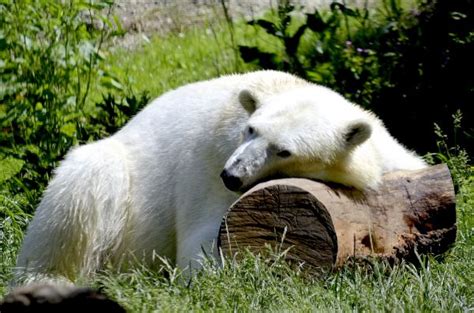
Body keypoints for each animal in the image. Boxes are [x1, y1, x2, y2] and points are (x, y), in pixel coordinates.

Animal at [14, 70, 426, 282]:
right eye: (251, 130)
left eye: (284, 150)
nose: (231, 175)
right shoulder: (210, 164)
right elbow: (203, 240)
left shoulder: (388, 155)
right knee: (85, 186)